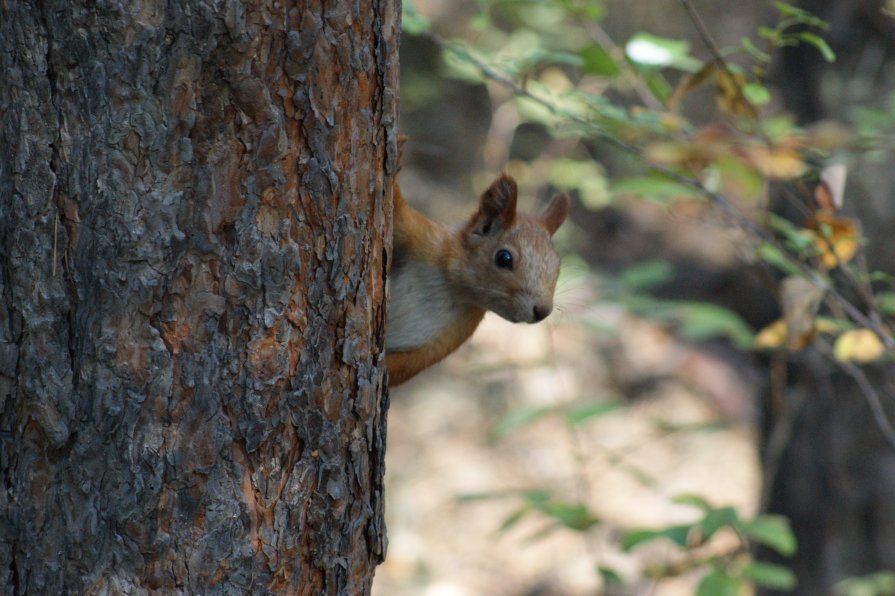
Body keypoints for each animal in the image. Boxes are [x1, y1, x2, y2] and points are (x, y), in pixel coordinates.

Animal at [384, 166, 568, 386]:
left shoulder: (448, 338)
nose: (543, 311)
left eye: (557, 267)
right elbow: (398, 210)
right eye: (504, 258)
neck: (451, 288)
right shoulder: (423, 239)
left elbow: (402, 368)